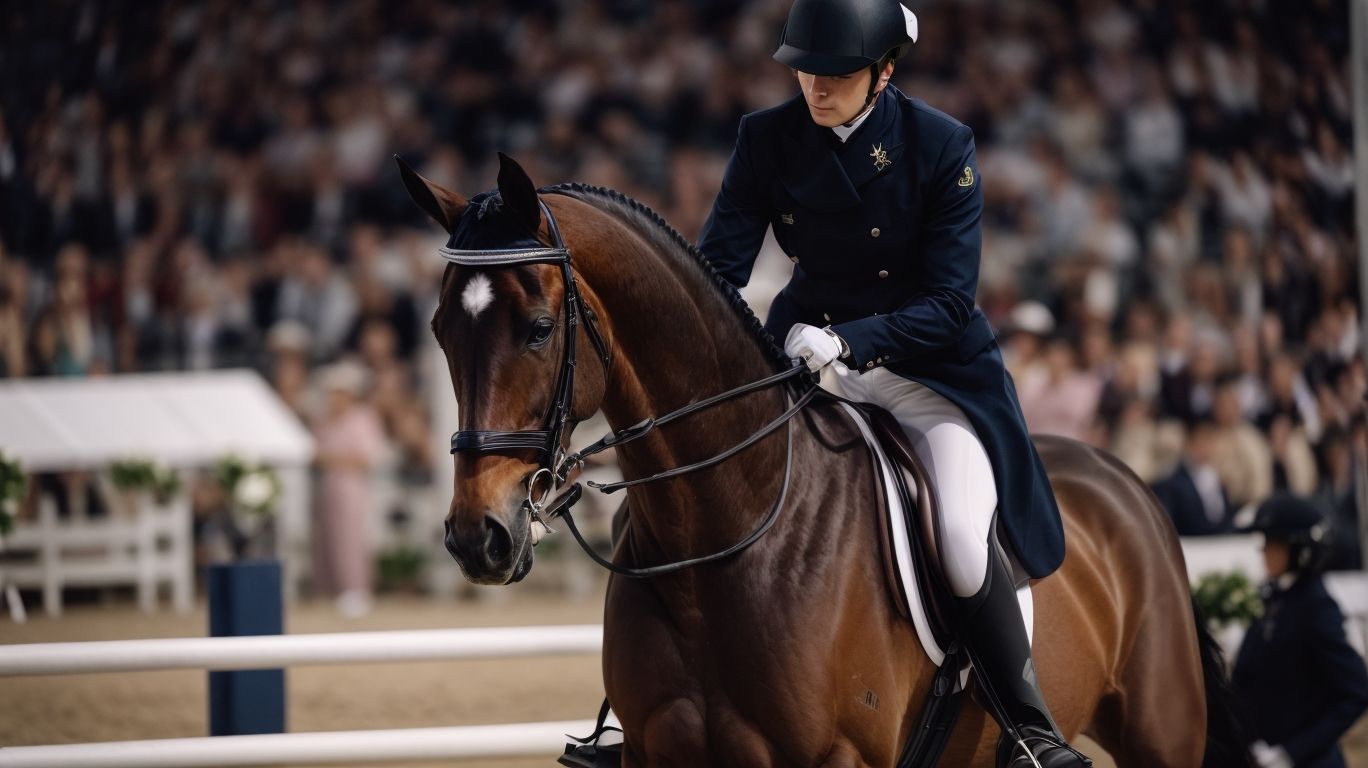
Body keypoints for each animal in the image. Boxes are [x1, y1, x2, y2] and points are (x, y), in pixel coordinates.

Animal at [401, 152, 1244, 767]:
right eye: (439, 328)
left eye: (539, 329)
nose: (478, 537)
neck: (724, 538)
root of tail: (1125, 482)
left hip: (1162, 735)